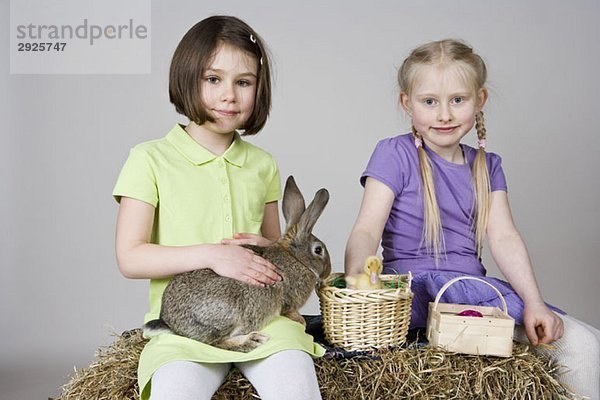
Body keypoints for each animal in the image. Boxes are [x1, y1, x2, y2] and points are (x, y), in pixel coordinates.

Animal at [145, 177, 332, 352]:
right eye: (318, 250)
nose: (328, 271)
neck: (296, 258)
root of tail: (170, 322)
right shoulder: (288, 301)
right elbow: (290, 311)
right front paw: (301, 321)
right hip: (229, 313)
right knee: (215, 342)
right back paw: (253, 340)